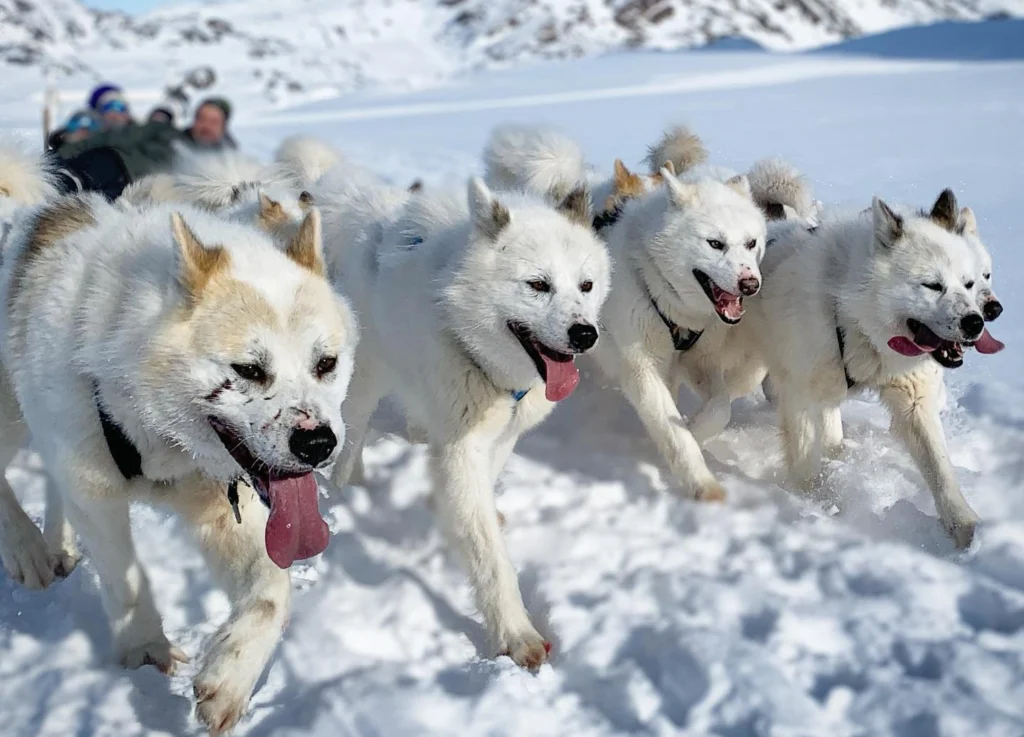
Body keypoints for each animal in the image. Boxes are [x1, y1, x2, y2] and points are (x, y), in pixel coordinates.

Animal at [0, 180, 360, 732]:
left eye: (326, 363)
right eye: (248, 369)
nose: (318, 444)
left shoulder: (224, 511)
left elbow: (272, 595)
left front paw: (230, 676)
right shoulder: (95, 490)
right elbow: (126, 580)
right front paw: (145, 651)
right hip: (10, 418)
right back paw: (28, 550)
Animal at [321, 170, 606, 667]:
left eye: (586, 286)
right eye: (538, 284)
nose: (584, 334)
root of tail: (372, 215)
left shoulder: (502, 432)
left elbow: (478, 495)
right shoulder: (462, 446)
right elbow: (489, 555)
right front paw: (515, 631)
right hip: (363, 387)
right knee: (349, 442)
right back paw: (343, 490)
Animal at [741, 188, 995, 548]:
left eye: (970, 283)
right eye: (932, 285)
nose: (976, 322)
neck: (854, 317)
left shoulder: (914, 401)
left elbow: (941, 470)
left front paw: (964, 529)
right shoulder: (800, 397)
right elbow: (805, 466)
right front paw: (812, 504)